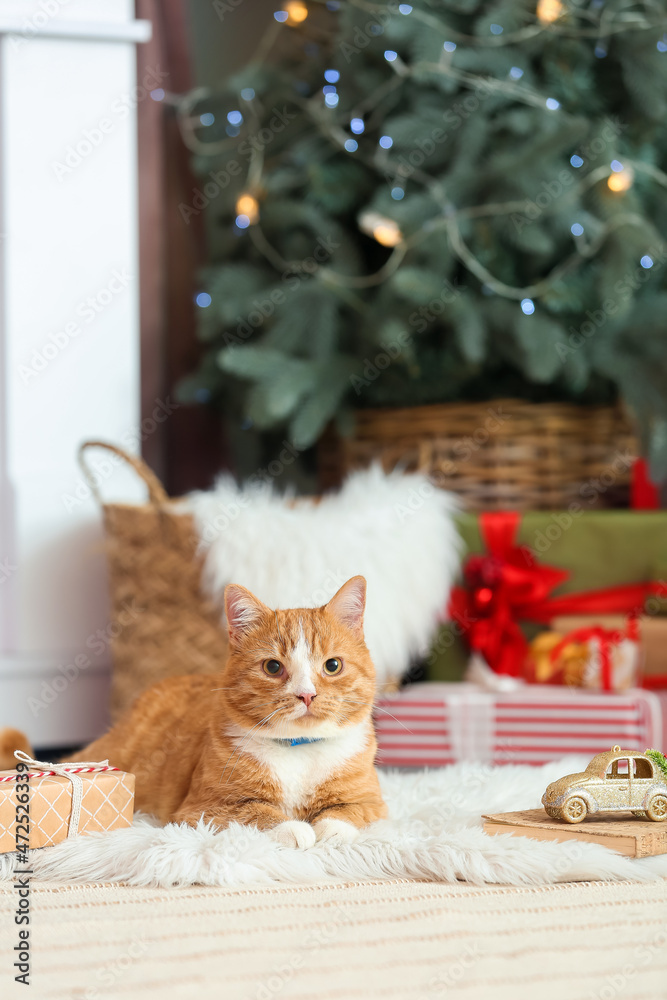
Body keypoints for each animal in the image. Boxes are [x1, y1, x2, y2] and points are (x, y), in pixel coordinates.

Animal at [2, 576, 386, 848]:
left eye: (332, 665)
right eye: (273, 667)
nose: (306, 695)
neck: (299, 750)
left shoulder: (373, 801)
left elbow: (348, 813)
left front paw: (328, 829)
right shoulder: (203, 809)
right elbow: (256, 811)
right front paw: (294, 828)